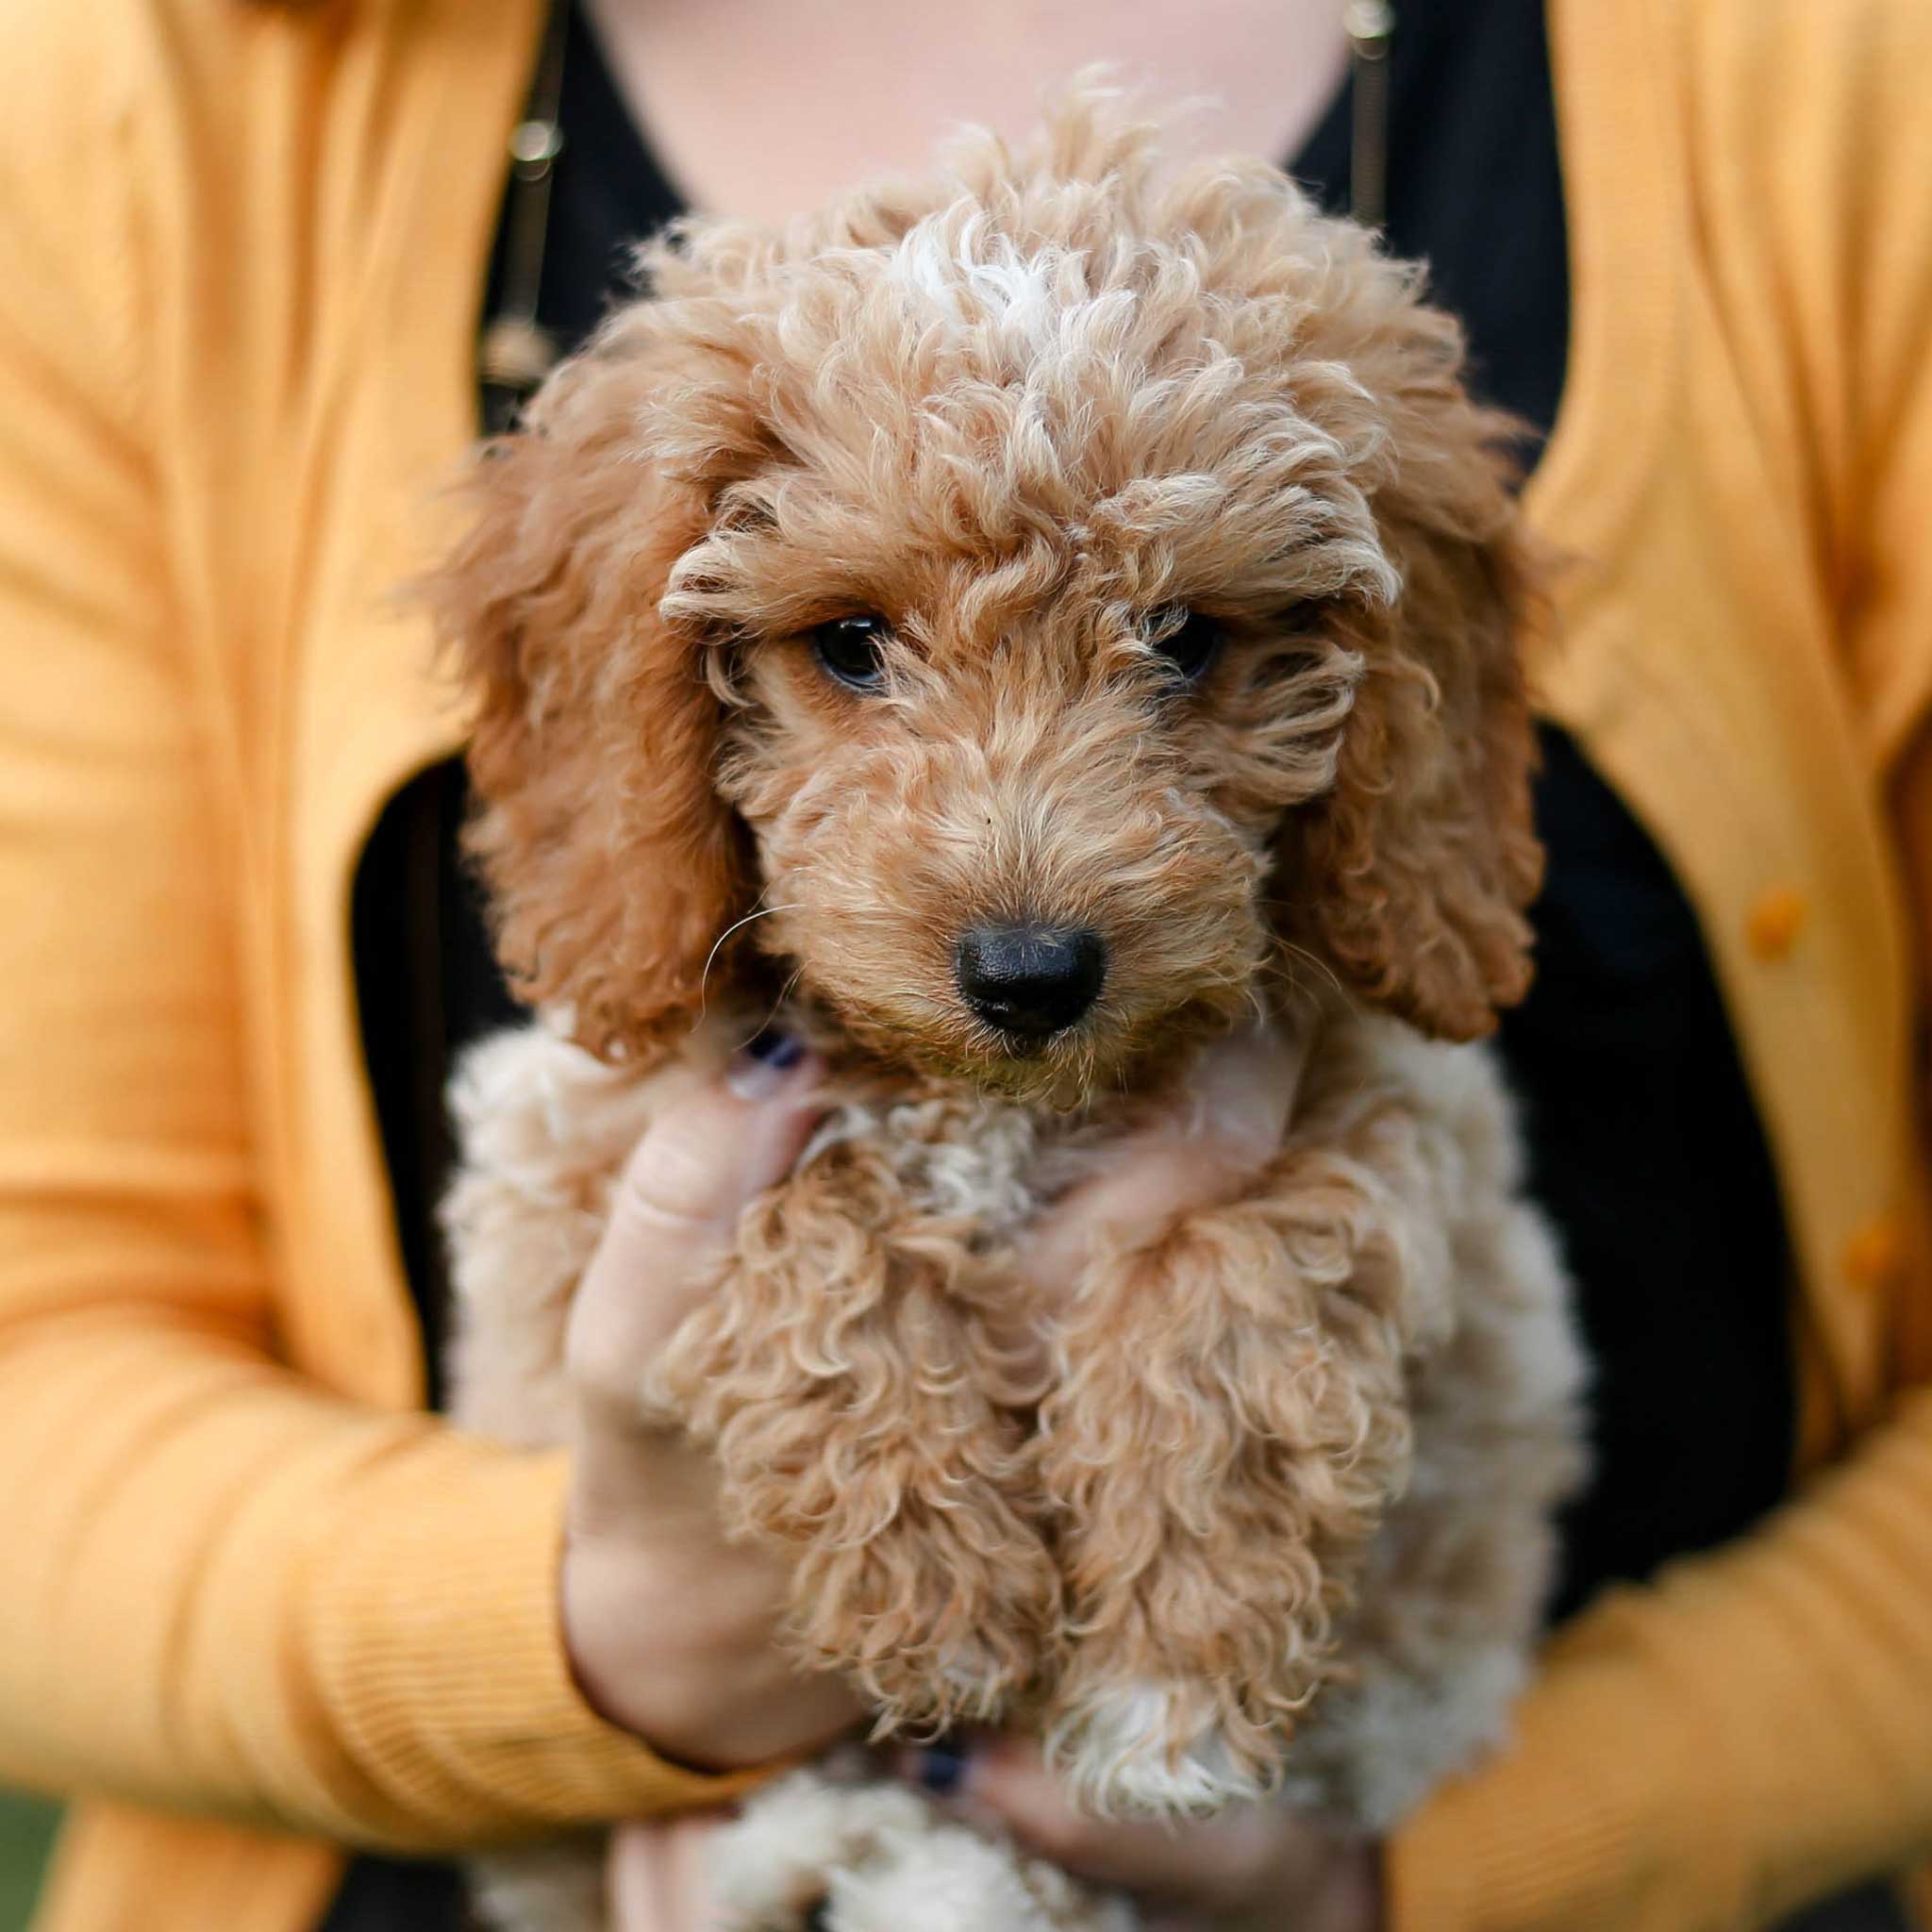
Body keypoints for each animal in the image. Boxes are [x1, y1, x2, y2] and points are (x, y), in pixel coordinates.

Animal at [434, 87, 1584, 1932]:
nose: (1033, 972)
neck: (998, 1107)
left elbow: (1251, 1267)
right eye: (847, 643)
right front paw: (936, 1586)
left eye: (1185, 638)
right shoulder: (591, 1160)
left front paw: (1170, 1678)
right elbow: (805, 1226)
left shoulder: (1390, 1107)